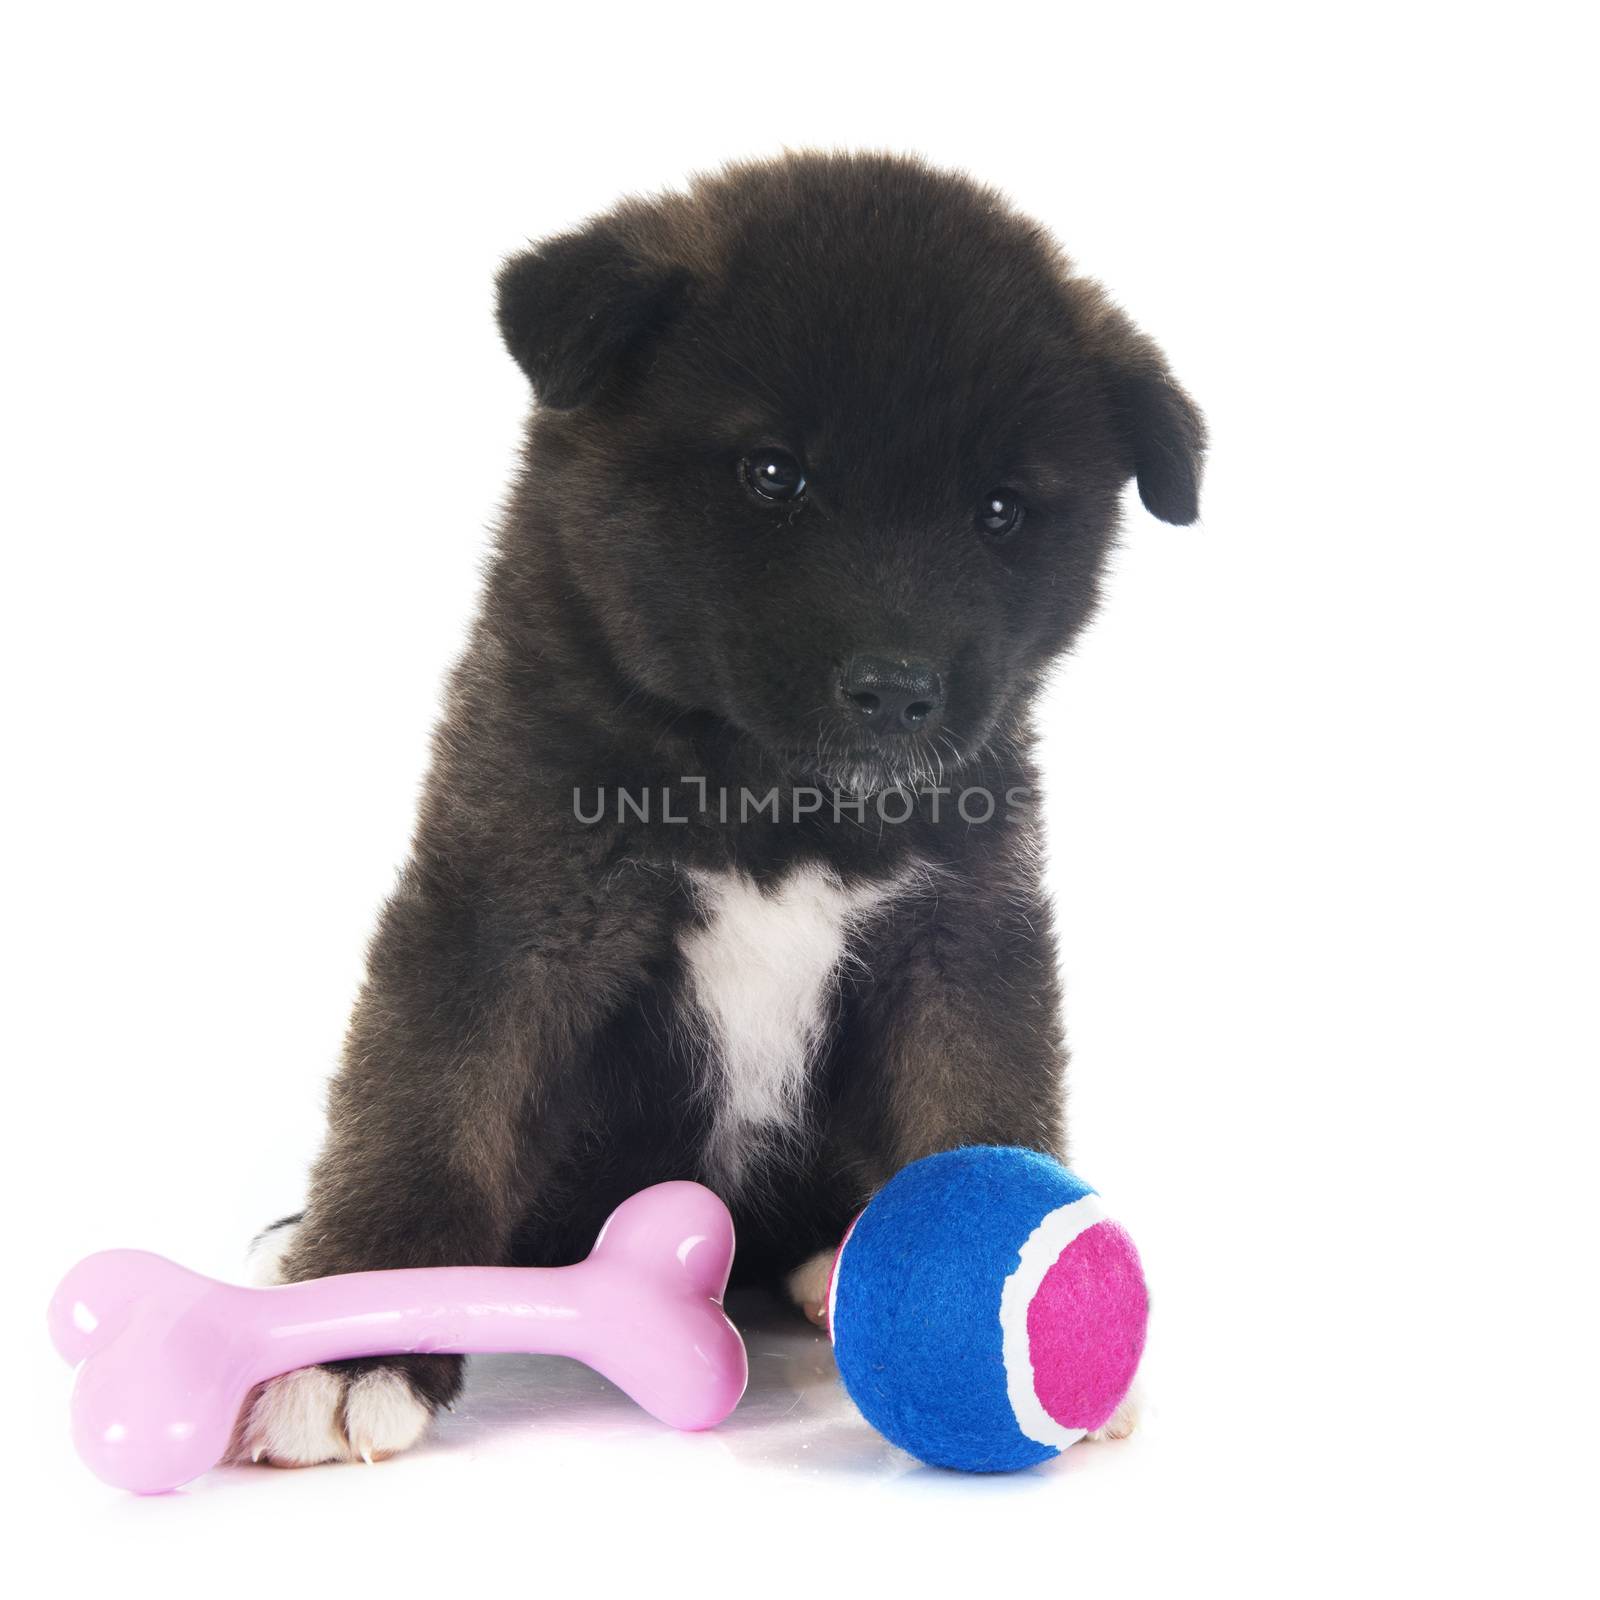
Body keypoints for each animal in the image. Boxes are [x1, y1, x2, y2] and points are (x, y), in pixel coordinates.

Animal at [233, 150, 1203, 1465]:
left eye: (1000, 511)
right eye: (772, 473)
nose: (897, 688)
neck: (776, 805)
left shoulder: (963, 933)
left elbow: (983, 1097)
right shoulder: (504, 906)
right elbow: (425, 1105)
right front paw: (351, 1342)